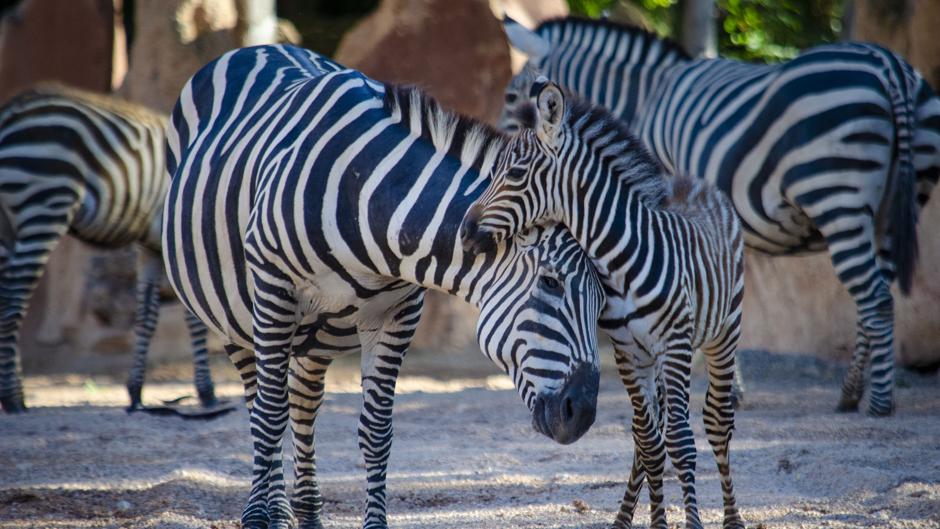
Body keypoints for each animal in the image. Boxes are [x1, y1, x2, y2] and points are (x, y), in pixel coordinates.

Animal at [0, 84, 218, 413]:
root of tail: (12, 113)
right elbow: (194, 320)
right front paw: (205, 391)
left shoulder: (151, 248)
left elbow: (146, 317)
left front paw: (136, 392)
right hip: (46, 201)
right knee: (12, 305)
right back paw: (14, 400)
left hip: (9, 223)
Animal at [163, 44, 605, 529]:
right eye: (551, 282)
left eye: (602, 299)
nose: (582, 414)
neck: (373, 202)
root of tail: (260, 47)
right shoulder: (275, 287)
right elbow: (269, 413)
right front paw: (263, 517)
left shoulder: (399, 312)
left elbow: (376, 429)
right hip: (236, 316)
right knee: (260, 401)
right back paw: (272, 507)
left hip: (316, 331)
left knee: (303, 401)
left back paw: (308, 511)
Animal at [462, 82, 745, 529]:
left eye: (515, 175)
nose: (464, 231)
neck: (621, 258)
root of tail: (696, 182)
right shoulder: (628, 350)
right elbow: (649, 443)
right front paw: (656, 523)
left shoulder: (675, 347)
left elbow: (681, 442)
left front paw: (691, 523)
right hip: (654, 359)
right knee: (648, 433)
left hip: (723, 334)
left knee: (717, 423)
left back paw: (733, 518)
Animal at [499, 16, 940, 416]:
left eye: (511, 96)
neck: (645, 97)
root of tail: (889, 67)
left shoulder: (663, 196)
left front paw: (718, 386)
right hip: (894, 206)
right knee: (878, 294)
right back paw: (852, 392)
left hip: (836, 194)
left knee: (875, 297)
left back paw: (879, 402)